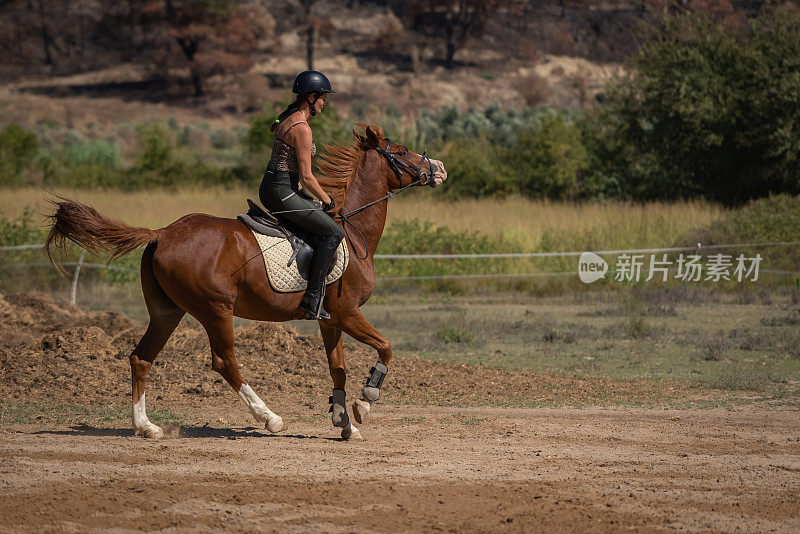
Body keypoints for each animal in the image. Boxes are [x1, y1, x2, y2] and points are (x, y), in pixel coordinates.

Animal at [45, 124, 444, 440]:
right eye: (402, 151)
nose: (438, 169)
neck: (353, 231)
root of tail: (162, 232)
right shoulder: (347, 313)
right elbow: (386, 348)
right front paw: (365, 402)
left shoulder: (330, 319)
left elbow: (338, 369)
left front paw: (344, 421)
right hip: (216, 309)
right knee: (224, 362)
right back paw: (270, 418)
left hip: (167, 312)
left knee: (141, 358)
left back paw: (147, 427)